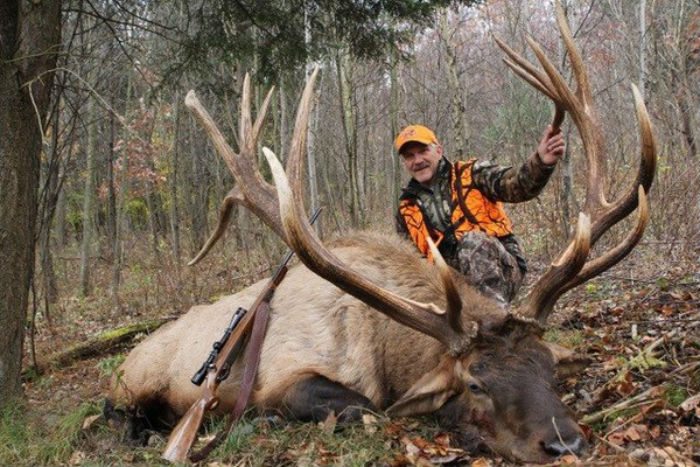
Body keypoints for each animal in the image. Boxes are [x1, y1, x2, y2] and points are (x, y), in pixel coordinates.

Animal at [109, 3, 656, 464]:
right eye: (475, 383)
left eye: (547, 368)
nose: (565, 443)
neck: (381, 345)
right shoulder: (284, 373)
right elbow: (364, 408)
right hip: (134, 381)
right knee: (118, 410)